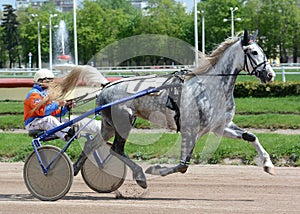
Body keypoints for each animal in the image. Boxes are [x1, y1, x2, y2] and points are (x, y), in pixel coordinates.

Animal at [96, 30, 276, 189]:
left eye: (262, 51)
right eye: (253, 52)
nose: (270, 75)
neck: (211, 88)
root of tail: (105, 88)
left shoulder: (220, 127)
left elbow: (251, 136)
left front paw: (268, 164)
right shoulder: (190, 130)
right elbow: (183, 166)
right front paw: (155, 169)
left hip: (110, 126)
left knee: (95, 145)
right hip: (123, 122)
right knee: (116, 149)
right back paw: (139, 175)